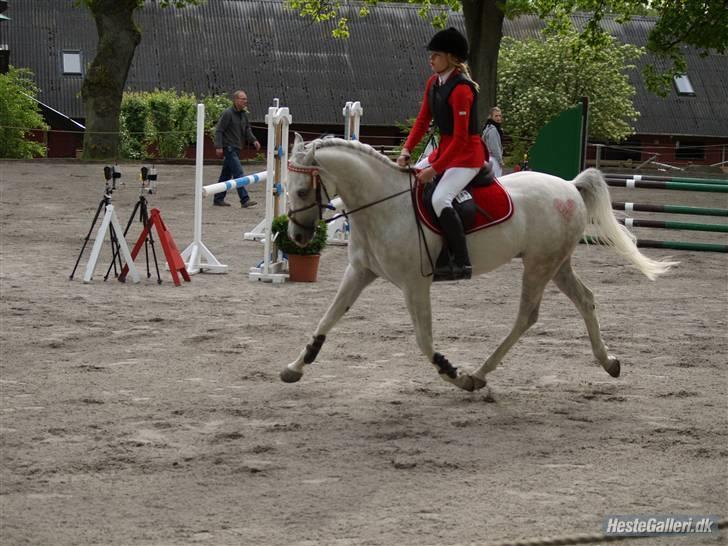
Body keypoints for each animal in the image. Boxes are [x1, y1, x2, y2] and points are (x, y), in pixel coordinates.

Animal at [280, 136, 676, 392]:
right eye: (287, 188)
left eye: (301, 191)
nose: (297, 238)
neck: (383, 205)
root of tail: (569, 186)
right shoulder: (360, 272)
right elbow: (327, 318)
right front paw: (295, 367)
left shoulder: (415, 284)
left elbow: (424, 340)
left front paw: (454, 374)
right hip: (557, 263)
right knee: (585, 299)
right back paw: (608, 362)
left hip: (539, 265)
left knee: (527, 316)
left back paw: (480, 373)